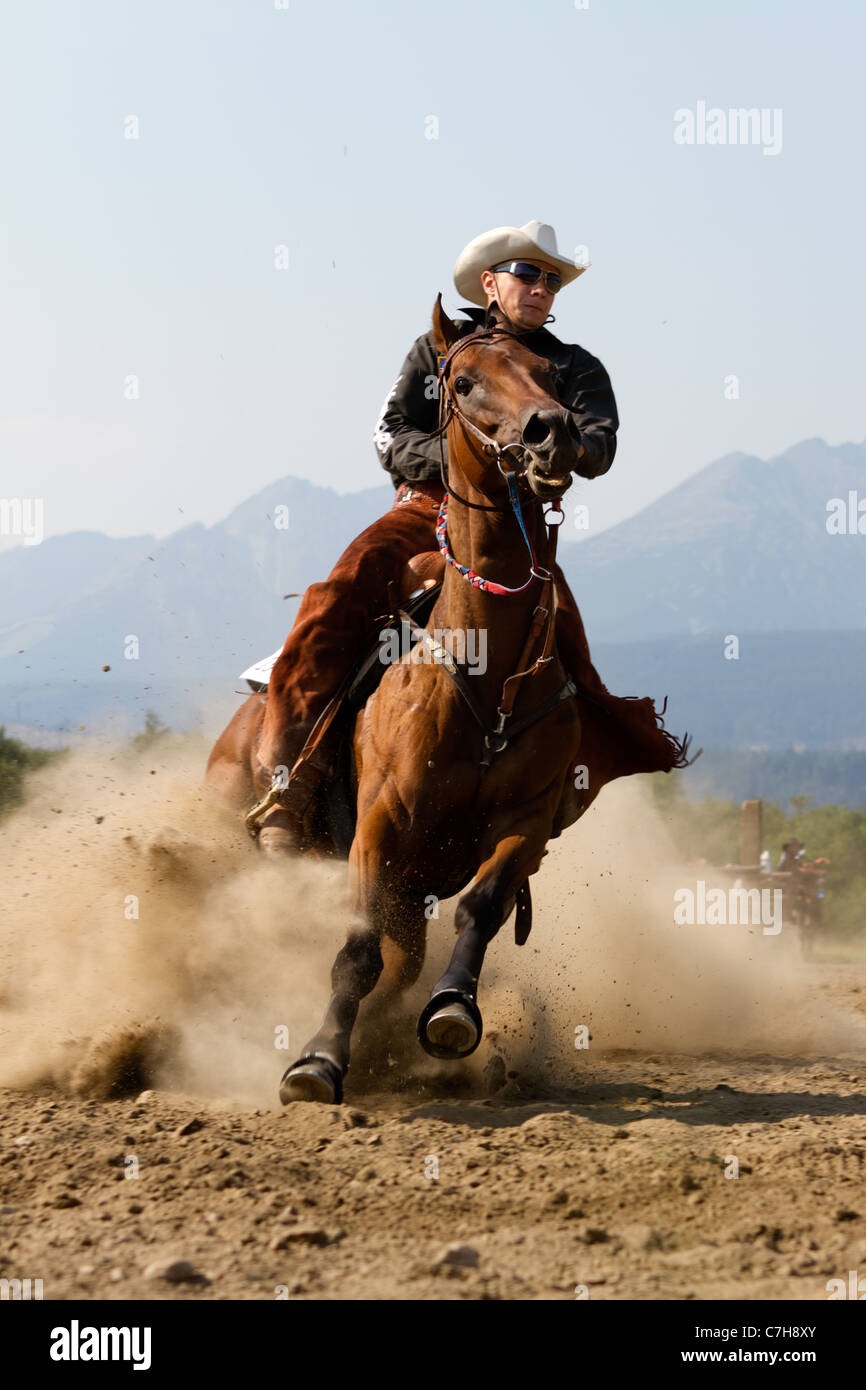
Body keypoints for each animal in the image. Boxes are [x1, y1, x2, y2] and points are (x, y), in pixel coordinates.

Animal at [207, 298, 592, 1100]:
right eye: (465, 381)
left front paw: (449, 1012)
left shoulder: (524, 822)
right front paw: (316, 1060)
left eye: (551, 375)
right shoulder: (379, 824)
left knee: (408, 955)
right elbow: (356, 950)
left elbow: (478, 910)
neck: (484, 677)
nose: (552, 431)